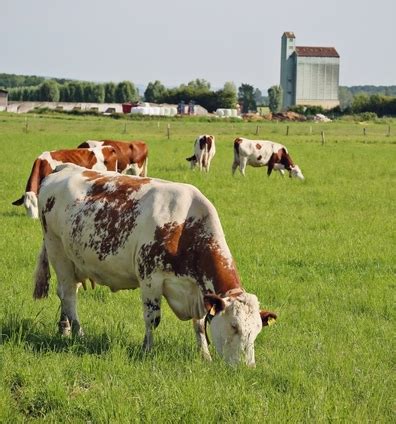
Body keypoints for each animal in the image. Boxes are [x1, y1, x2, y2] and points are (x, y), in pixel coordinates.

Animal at [33, 164, 276, 366]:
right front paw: (147, 350)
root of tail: (64, 167)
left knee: (67, 291)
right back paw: (78, 333)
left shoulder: (198, 293)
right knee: (68, 294)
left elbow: (198, 325)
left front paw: (204, 356)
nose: (247, 367)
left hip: (73, 259)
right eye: (234, 326)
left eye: (257, 330)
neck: (185, 227)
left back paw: (65, 329)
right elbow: (153, 319)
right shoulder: (150, 278)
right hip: (57, 249)